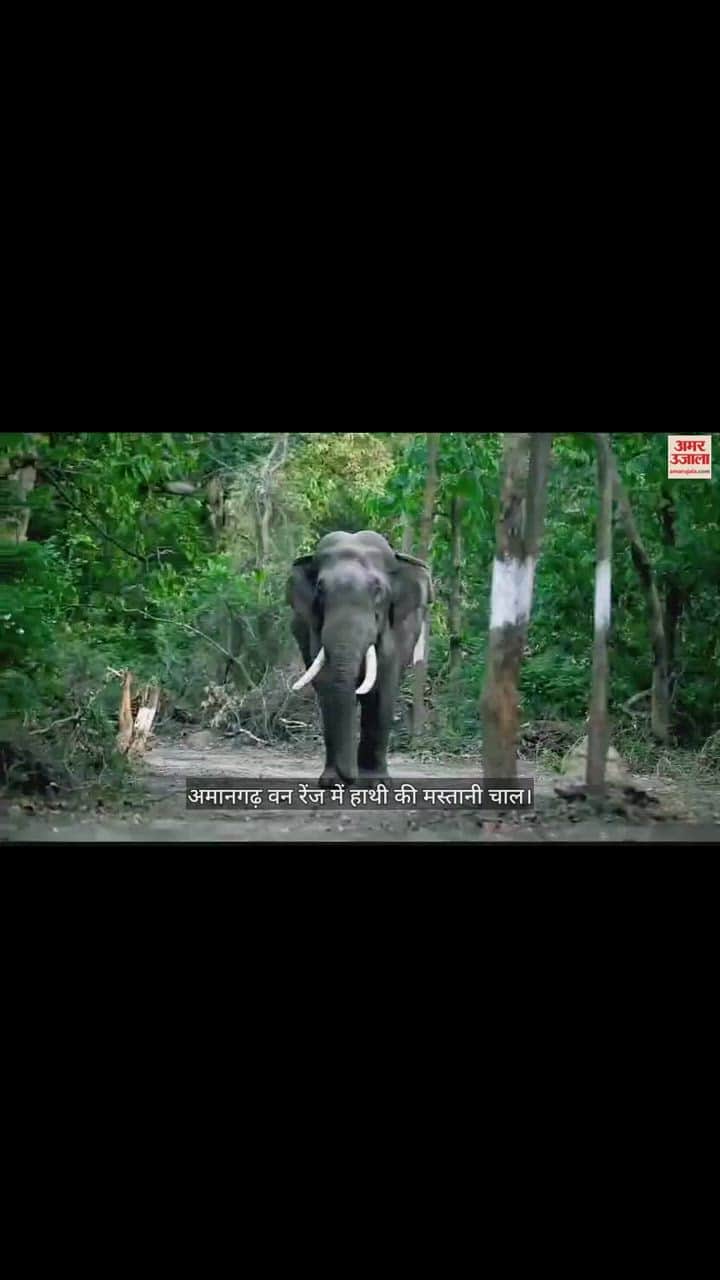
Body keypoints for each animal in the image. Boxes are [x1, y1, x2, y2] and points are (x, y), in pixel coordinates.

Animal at [286, 530, 433, 787]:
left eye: (378, 590)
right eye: (320, 589)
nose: (350, 778)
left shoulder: (395, 630)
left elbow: (383, 689)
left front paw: (377, 783)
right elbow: (327, 686)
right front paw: (332, 782)